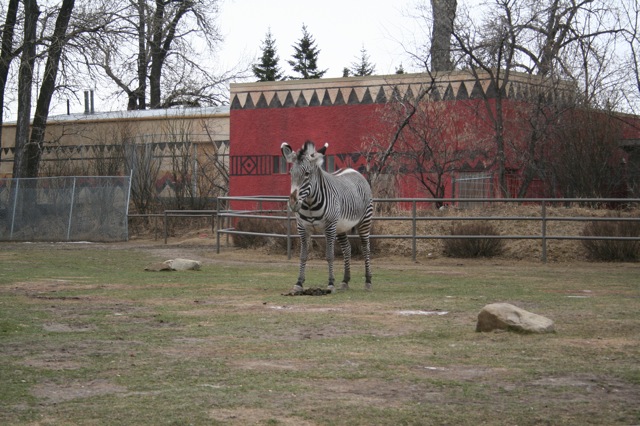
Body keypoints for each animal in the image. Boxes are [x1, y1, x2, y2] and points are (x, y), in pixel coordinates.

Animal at [281, 141, 373, 293]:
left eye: (307, 174)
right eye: (290, 173)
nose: (293, 204)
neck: (310, 204)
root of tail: (353, 170)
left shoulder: (329, 227)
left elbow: (330, 256)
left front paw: (330, 283)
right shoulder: (302, 228)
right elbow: (303, 256)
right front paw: (299, 283)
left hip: (365, 221)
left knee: (366, 248)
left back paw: (368, 281)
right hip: (341, 227)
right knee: (347, 248)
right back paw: (345, 281)